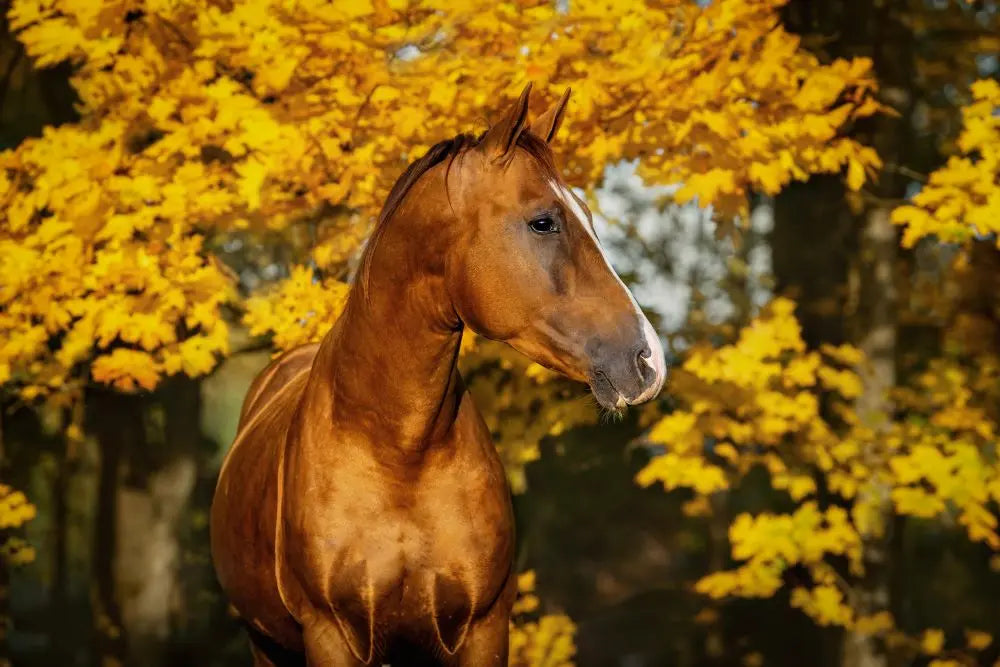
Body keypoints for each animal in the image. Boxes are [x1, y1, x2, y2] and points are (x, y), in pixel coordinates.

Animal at [210, 85, 664, 667]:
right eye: (543, 221)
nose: (647, 360)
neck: (400, 453)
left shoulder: (483, 630)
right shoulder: (330, 635)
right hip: (266, 644)